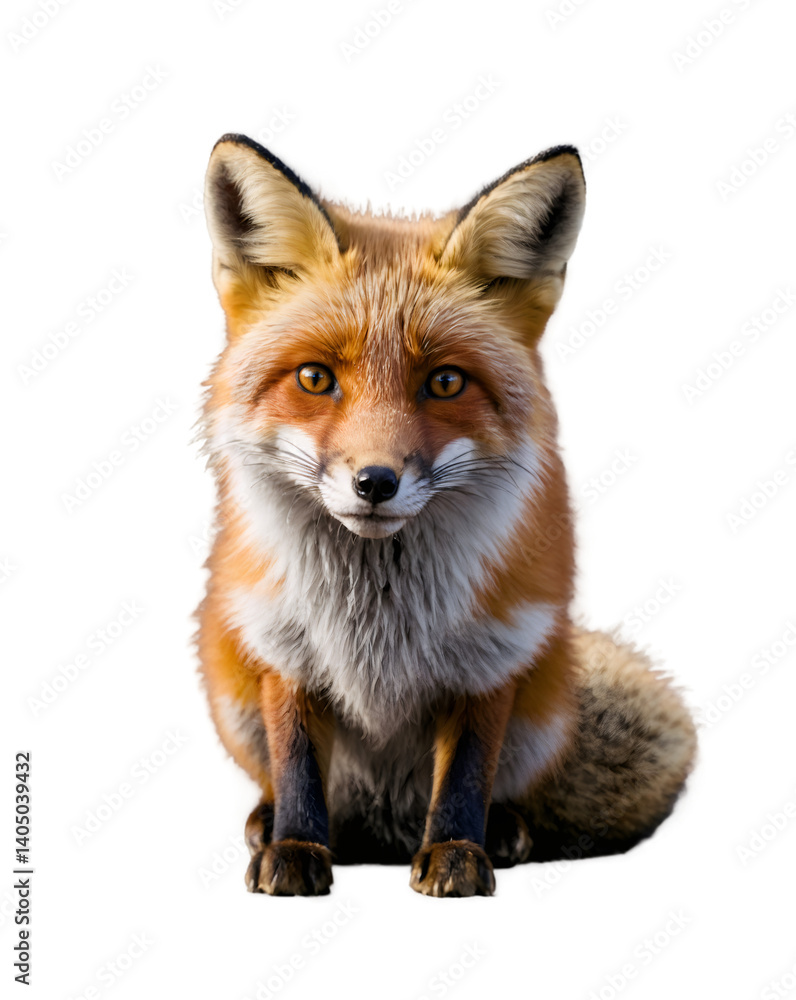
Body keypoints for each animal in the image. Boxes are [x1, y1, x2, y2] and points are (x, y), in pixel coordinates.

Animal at [196, 133, 697, 897]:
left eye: (446, 382)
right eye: (315, 378)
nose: (375, 482)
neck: (375, 614)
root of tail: (383, 826)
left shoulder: (494, 648)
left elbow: (465, 769)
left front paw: (459, 851)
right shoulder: (282, 638)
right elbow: (298, 762)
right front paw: (296, 847)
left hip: (542, 711)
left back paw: (504, 829)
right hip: (231, 685)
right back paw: (271, 821)